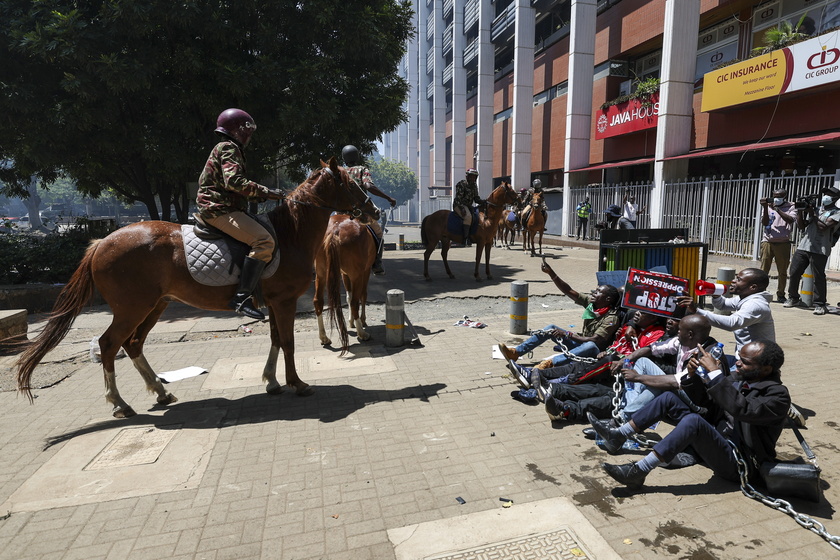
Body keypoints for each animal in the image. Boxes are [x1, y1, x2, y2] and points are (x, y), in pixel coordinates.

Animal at [314, 214, 376, 346]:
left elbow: (348, 296)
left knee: (318, 301)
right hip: (357, 275)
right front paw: (362, 320)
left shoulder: (345, 274)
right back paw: (362, 333)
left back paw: (324, 337)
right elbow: (362, 295)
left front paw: (351, 321)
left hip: (321, 274)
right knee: (355, 302)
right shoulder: (365, 271)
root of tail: (334, 231)